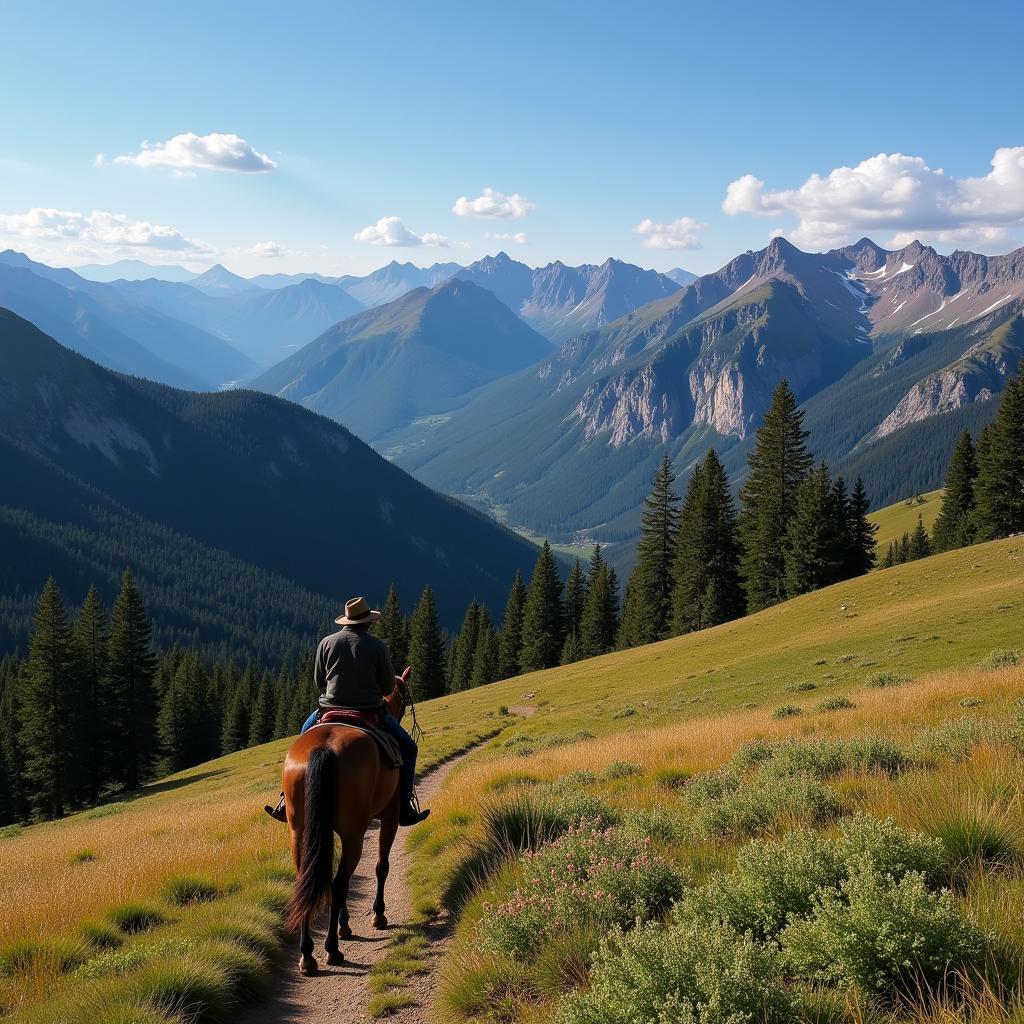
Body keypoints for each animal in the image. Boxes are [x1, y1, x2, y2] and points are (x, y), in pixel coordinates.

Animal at [282, 675, 409, 970]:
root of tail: (323, 749)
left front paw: (345, 924)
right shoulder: (389, 818)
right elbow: (381, 867)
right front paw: (377, 916)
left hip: (300, 831)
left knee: (309, 880)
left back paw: (307, 955)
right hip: (354, 835)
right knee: (340, 884)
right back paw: (332, 949)